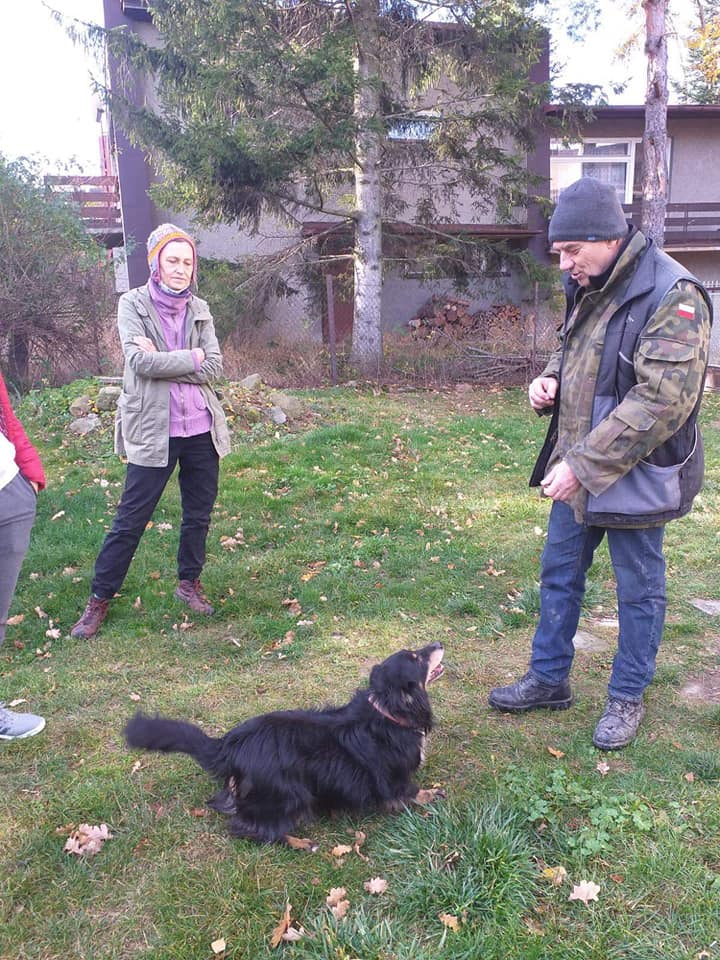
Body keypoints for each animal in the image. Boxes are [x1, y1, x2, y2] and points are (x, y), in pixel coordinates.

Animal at [124, 641, 444, 844]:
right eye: (416, 658)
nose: (439, 642)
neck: (388, 711)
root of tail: (229, 745)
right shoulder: (395, 778)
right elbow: (413, 792)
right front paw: (432, 794)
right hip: (290, 794)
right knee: (249, 829)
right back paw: (300, 842)